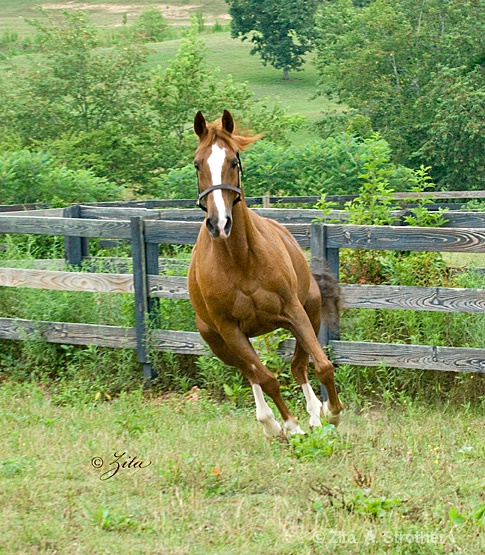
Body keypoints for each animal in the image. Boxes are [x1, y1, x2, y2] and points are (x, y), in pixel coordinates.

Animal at [187, 111, 342, 436]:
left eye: (233, 160)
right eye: (197, 163)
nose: (219, 223)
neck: (241, 262)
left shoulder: (294, 312)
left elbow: (322, 365)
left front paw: (332, 412)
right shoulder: (230, 331)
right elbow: (267, 378)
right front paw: (290, 426)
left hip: (311, 312)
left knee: (298, 365)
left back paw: (314, 414)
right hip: (219, 342)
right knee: (252, 373)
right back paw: (271, 424)